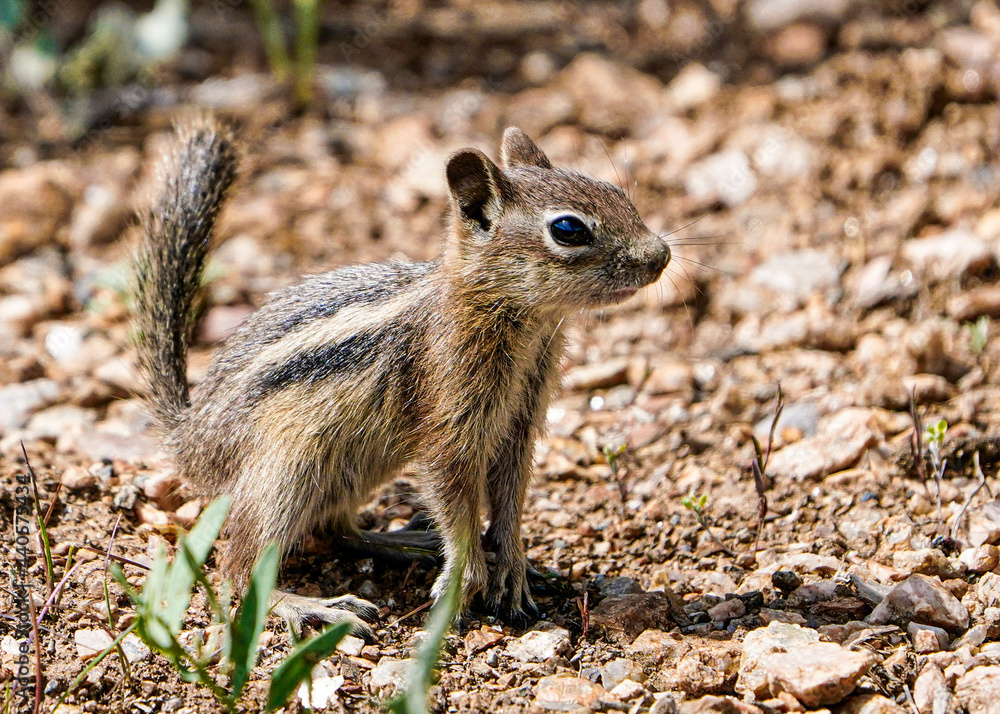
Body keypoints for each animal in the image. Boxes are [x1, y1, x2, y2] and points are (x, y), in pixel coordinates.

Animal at [132, 115, 671, 639]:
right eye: (568, 229)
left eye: (616, 191)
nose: (661, 256)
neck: (520, 321)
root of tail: (189, 440)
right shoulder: (451, 420)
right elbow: (454, 496)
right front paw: (465, 576)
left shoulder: (520, 423)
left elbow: (510, 497)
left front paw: (512, 566)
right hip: (282, 472)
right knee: (239, 569)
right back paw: (313, 605)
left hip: (349, 470)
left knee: (335, 531)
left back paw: (407, 542)